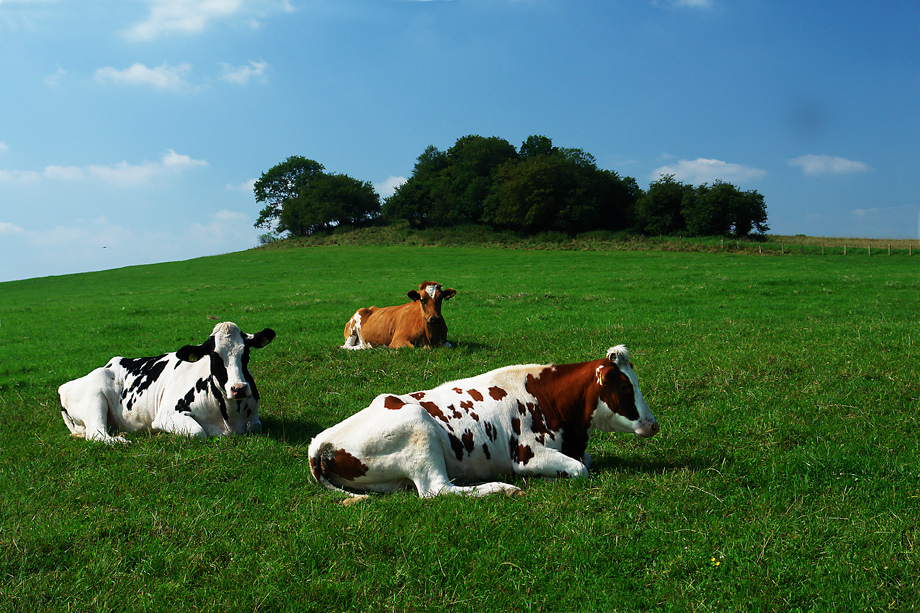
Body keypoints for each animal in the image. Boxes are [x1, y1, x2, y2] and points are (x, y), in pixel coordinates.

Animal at [58, 320, 274, 444]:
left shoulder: (253, 417)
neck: (230, 417)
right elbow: (198, 432)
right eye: (214, 356)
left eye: (245, 353)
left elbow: (255, 425)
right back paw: (121, 440)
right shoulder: (165, 415)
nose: (239, 388)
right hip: (94, 397)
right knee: (96, 434)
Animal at [310, 344, 660, 498]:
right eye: (625, 387)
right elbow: (580, 469)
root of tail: (321, 440)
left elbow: (585, 462)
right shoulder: (527, 455)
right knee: (437, 490)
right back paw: (502, 488)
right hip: (418, 427)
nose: (653, 424)